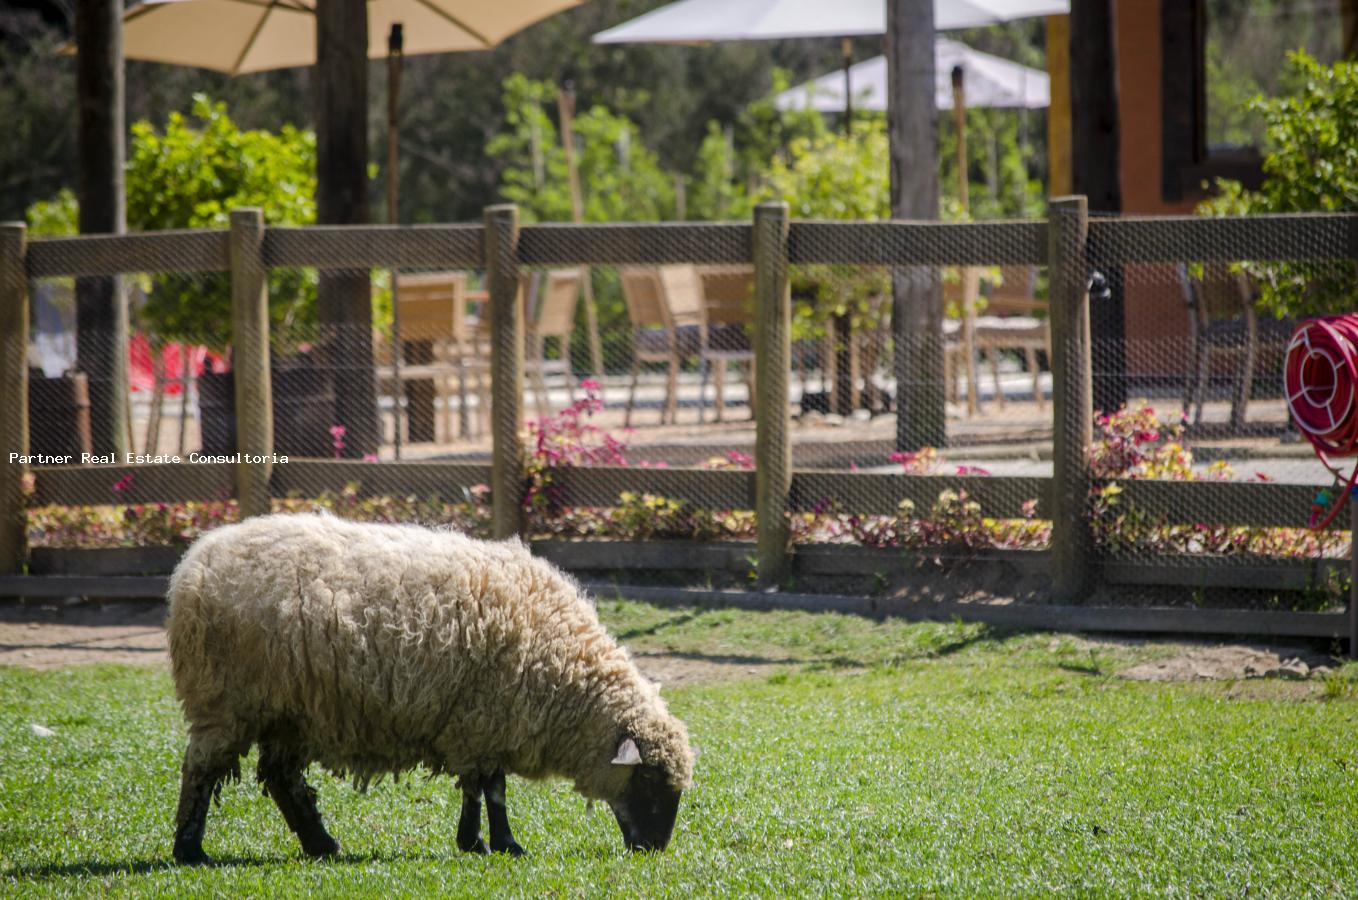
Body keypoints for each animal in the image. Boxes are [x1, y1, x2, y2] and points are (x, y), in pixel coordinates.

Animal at [165, 510, 695, 863]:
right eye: (649, 778)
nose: (654, 848)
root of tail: (196, 562)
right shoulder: (482, 718)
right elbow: (492, 790)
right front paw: (500, 844)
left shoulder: (479, 724)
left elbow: (480, 788)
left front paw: (477, 842)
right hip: (226, 700)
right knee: (201, 770)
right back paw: (191, 850)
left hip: (291, 710)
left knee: (280, 779)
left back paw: (322, 845)